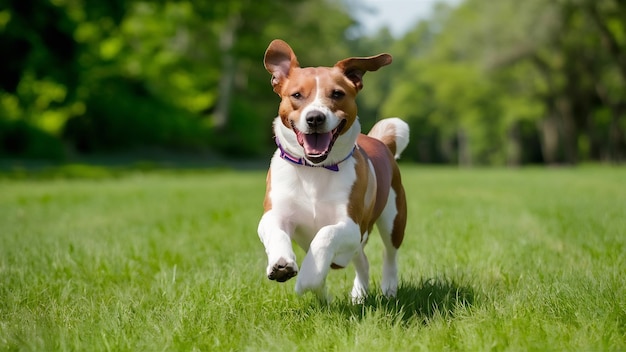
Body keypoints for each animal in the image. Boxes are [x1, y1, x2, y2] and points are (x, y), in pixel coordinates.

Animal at [256, 39, 408, 302]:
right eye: (297, 95)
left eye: (337, 93)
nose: (315, 117)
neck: (315, 171)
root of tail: (380, 141)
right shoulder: (276, 212)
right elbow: (276, 230)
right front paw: (282, 264)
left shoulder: (351, 226)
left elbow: (325, 235)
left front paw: (306, 279)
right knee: (362, 260)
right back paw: (356, 294)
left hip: (394, 219)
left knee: (389, 255)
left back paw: (388, 288)